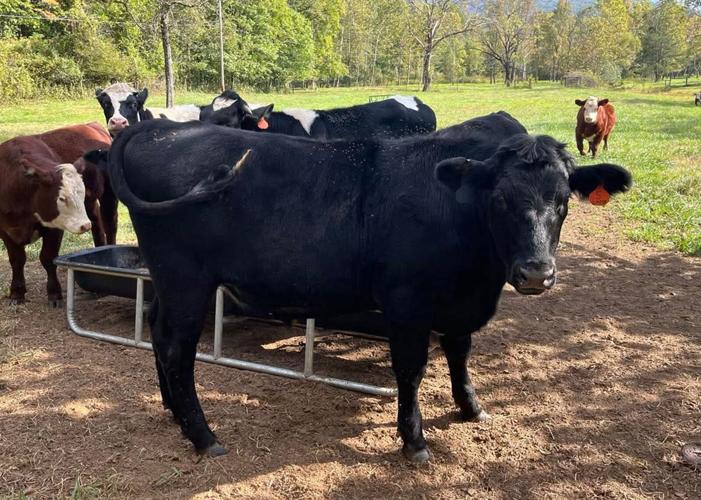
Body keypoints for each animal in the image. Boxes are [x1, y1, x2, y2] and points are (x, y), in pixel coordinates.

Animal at [0, 136, 93, 307]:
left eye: (82, 192)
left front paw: (54, 293)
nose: (85, 225)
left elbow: (48, 258)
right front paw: (17, 292)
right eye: (62, 198)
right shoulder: (6, 231)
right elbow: (17, 260)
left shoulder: (55, 229)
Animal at [94, 112, 632, 463]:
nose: (537, 272)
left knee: (157, 332)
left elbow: (460, 352)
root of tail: (160, 128)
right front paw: (414, 442)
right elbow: (412, 370)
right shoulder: (408, 302)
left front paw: (471, 407)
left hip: (169, 280)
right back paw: (203, 437)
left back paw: (173, 413)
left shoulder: (459, 302)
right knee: (176, 347)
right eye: (499, 200)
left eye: (563, 201)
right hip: (187, 278)